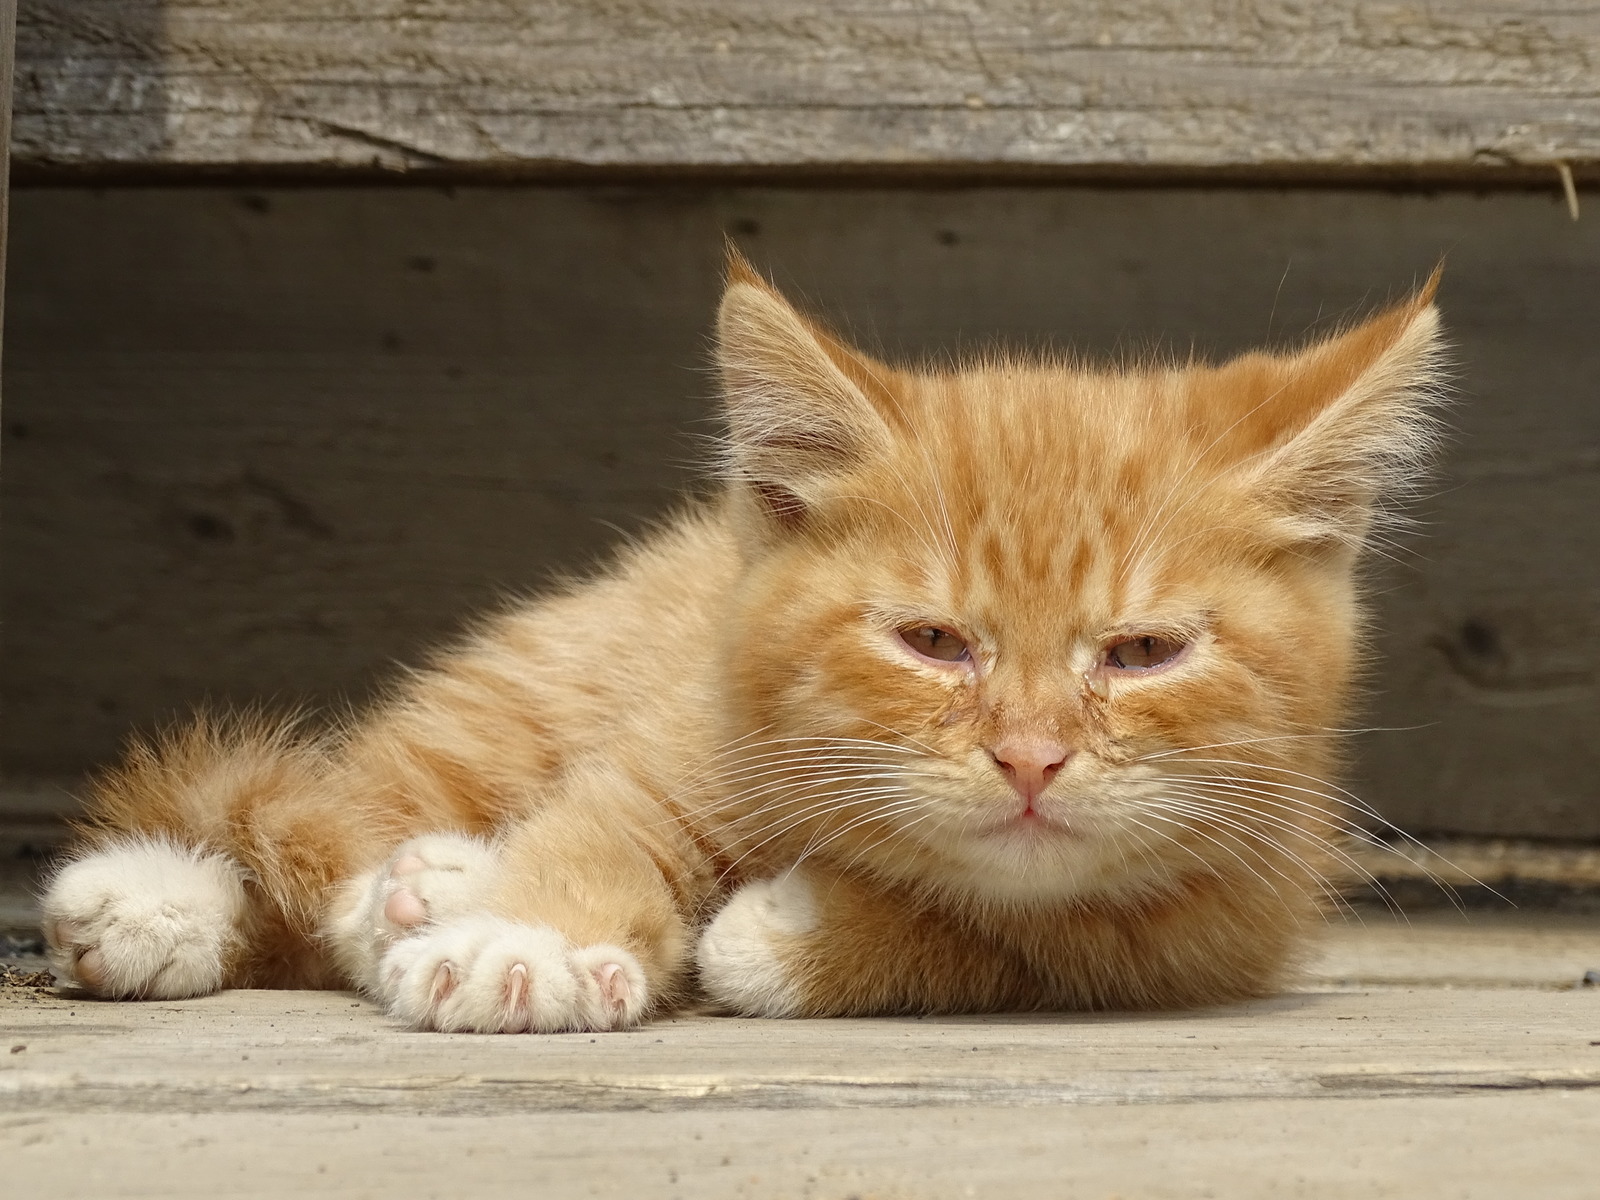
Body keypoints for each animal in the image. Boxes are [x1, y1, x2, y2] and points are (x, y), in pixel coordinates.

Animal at [37, 254, 1446, 1036]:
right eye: (933, 642)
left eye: (1142, 653)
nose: (1031, 759)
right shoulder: (692, 735)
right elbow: (605, 822)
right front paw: (526, 943)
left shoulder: (1229, 909)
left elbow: (1036, 945)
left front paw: (788, 938)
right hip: (517, 700)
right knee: (333, 818)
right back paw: (172, 900)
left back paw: (428, 881)